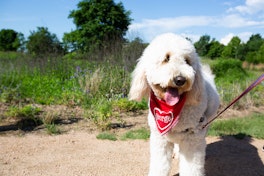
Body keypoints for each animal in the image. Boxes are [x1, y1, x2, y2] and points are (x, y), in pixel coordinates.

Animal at [129, 33, 220, 176]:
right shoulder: (160, 139)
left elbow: (191, 168)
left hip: (206, 124)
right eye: (166, 58)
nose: (180, 80)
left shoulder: (192, 138)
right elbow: (159, 165)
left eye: (187, 61)